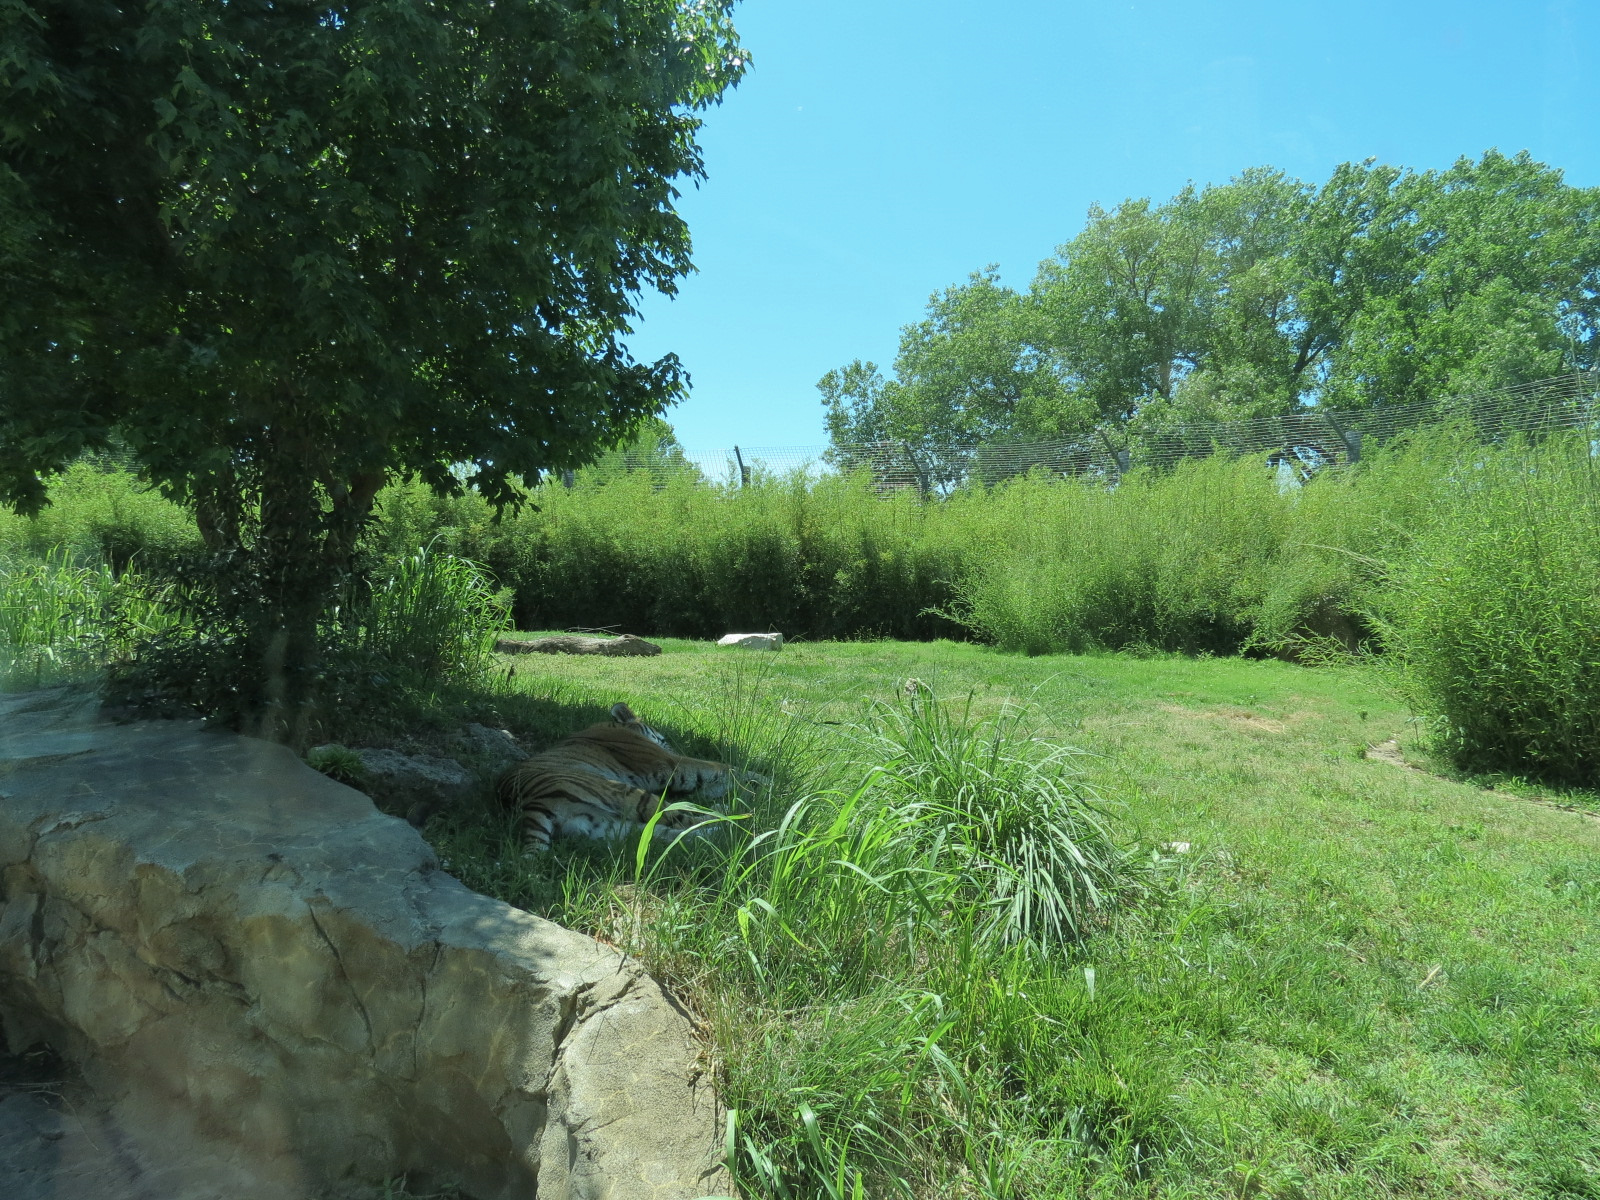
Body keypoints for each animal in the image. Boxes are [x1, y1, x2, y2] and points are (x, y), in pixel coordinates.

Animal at [495, 702, 753, 853]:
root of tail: (530, 805)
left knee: (669, 834)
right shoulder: (670, 763)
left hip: (611, 827)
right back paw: (735, 818)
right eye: (663, 741)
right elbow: (720, 767)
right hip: (632, 795)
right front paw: (755, 781)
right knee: (686, 819)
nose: (668, 743)